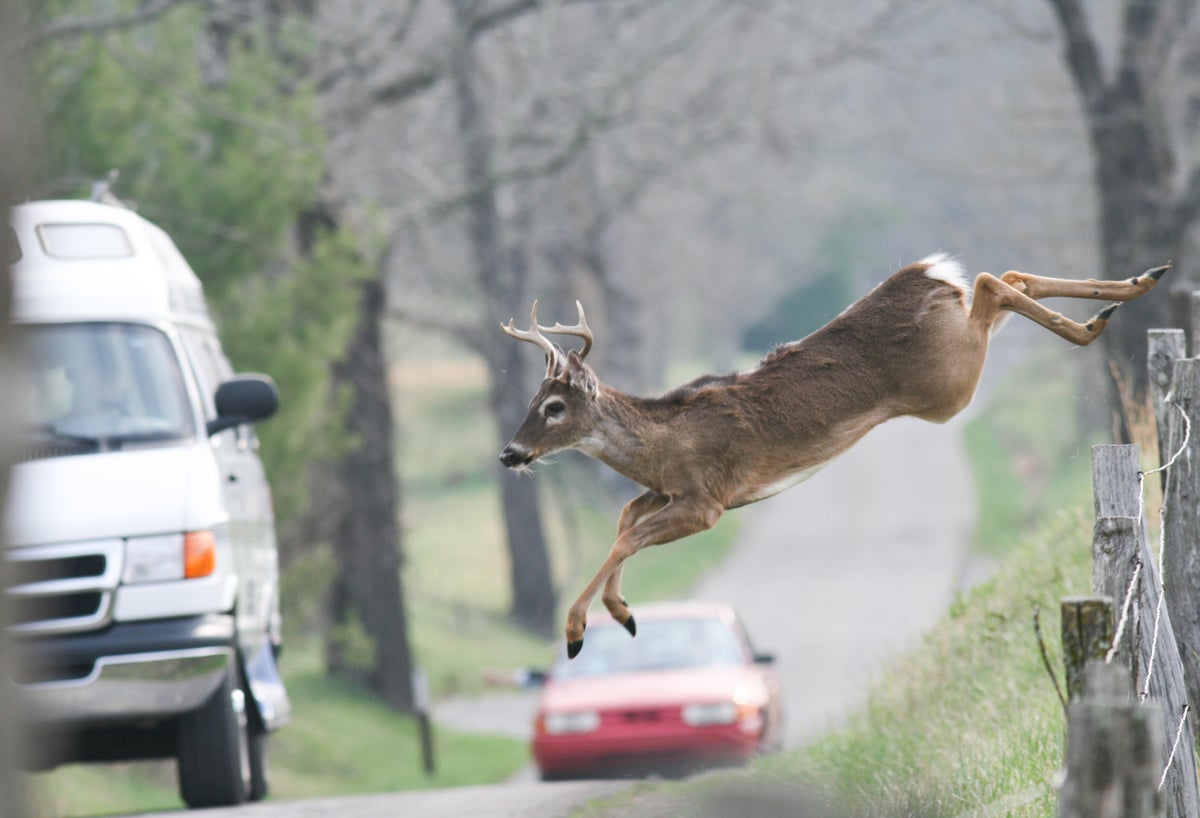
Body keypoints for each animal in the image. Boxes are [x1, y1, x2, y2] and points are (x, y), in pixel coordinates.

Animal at [499, 254, 1170, 658]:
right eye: (531, 400)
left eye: (553, 406)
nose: (510, 453)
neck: (661, 443)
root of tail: (926, 274)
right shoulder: (669, 492)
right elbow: (624, 520)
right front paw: (623, 611)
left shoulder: (706, 500)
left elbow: (627, 535)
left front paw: (578, 630)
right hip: (958, 359)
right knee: (1007, 277)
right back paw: (1136, 286)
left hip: (950, 384)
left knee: (990, 282)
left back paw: (1098, 319)